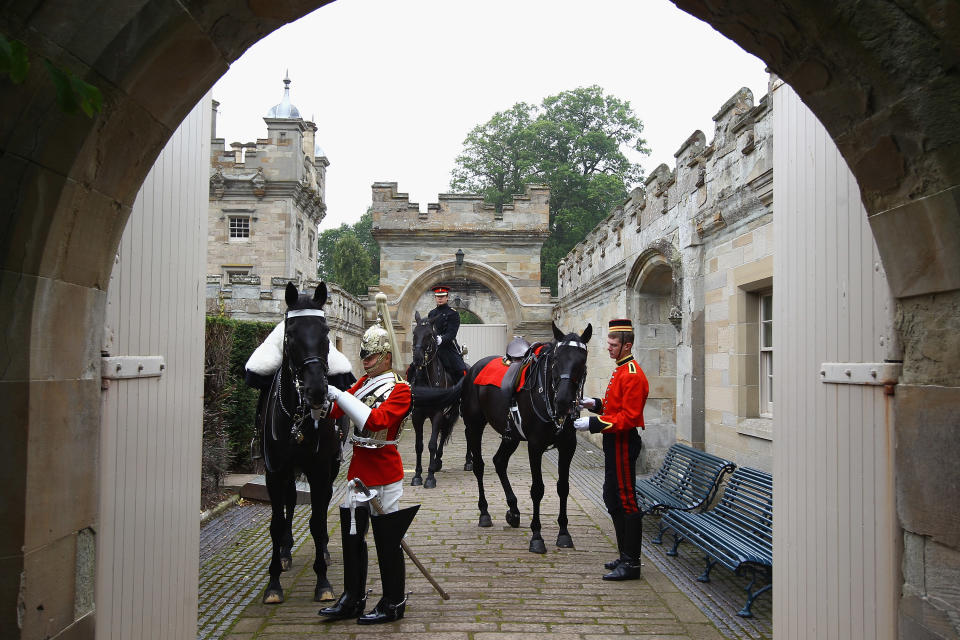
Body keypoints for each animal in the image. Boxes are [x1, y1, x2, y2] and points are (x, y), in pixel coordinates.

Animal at [256, 284, 354, 604]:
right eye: (290, 333)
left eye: (325, 331)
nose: (316, 391)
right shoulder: (274, 471)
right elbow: (276, 524)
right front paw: (273, 583)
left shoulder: (321, 469)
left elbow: (318, 520)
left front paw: (322, 581)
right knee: (288, 502)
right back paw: (286, 551)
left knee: (320, 508)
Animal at [406, 312, 464, 488]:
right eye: (414, 333)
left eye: (430, 335)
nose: (418, 358)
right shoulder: (417, 416)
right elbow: (419, 445)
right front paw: (417, 475)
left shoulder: (438, 414)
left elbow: (431, 444)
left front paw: (430, 477)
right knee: (442, 434)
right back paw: (437, 462)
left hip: (454, 413)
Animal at [462, 322, 588, 552]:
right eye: (556, 359)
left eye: (581, 361)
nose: (564, 400)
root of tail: (474, 368)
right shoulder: (535, 446)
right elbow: (537, 489)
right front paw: (537, 537)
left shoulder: (568, 446)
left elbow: (563, 487)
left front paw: (564, 533)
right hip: (474, 427)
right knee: (479, 466)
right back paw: (484, 513)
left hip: (510, 436)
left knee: (499, 461)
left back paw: (513, 510)